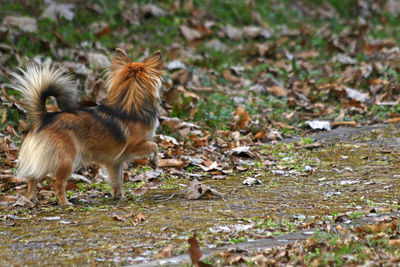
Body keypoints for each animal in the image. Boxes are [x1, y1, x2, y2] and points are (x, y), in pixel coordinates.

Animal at [10, 48, 164, 207]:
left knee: (32, 177)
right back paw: (65, 203)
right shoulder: (133, 146)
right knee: (58, 183)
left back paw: (31, 199)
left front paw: (118, 196)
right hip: (67, 160)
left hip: (45, 158)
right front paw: (154, 162)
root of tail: (45, 118)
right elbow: (154, 145)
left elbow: (117, 180)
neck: (130, 107)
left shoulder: (115, 162)